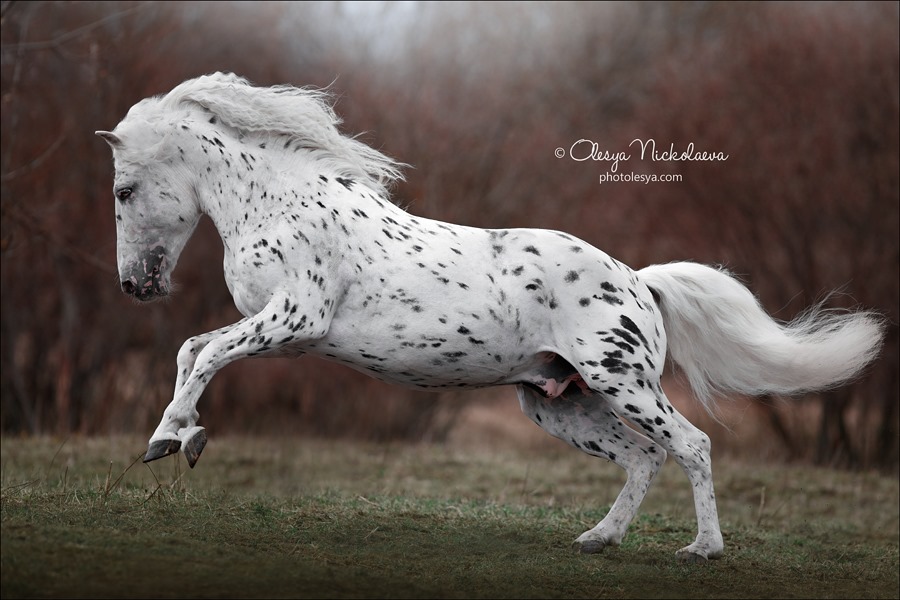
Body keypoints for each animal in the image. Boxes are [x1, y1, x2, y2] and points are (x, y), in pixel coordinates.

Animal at [95, 74, 884, 564]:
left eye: (125, 190)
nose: (134, 285)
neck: (280, 201)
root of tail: (640, 282)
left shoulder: (295, 319)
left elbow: (201, 353)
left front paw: (170, 440)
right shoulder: (277, 332)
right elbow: (193, 352)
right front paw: (183, 437)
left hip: (623, 382)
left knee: (689, 446)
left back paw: (702, 551)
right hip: (556, 403)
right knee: (643, 458)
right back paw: (598, 540)